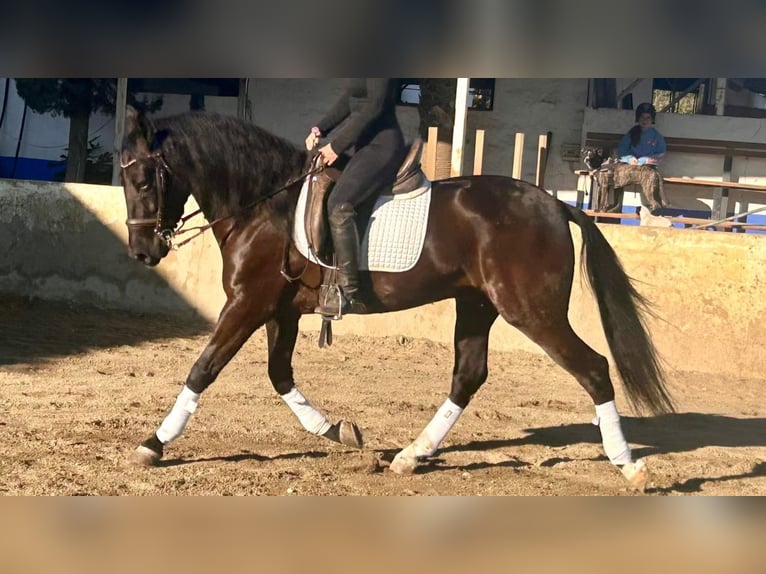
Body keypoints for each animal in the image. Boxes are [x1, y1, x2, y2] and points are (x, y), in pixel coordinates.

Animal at [120, 105, 675, 491]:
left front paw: (153, 443)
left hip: (530, 311)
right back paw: (411, 455)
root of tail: (557, 205)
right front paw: (338, 430)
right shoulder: (279, 310)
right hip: (477, 305)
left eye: (144, 178)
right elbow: (280, 376)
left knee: (593, 368)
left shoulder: (248, 304)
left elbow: (203, 369)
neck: (265, 205)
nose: (143, 251)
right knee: (468, 375)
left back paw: (628, 466)